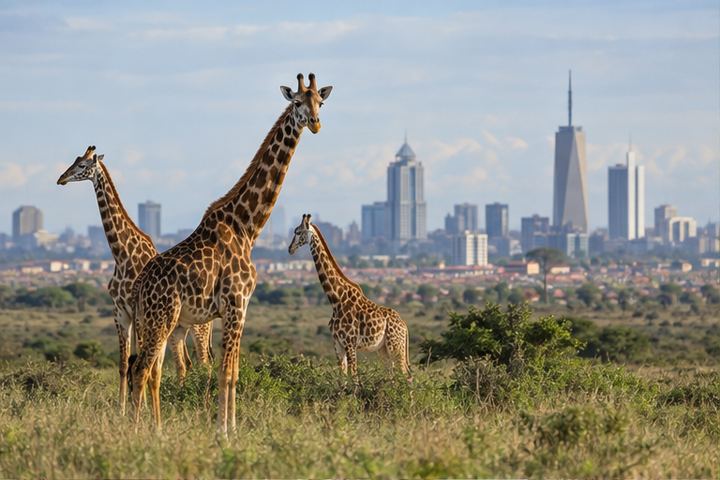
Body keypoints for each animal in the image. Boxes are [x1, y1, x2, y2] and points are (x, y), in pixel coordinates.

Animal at [57, 146, 213, 414]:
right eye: (74, 160)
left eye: (82, 165)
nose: (61, 179)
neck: (121, 255)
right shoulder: (120, 311)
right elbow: (124, 364)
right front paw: (121, 409)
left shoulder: (139, 314)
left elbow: (138, 363)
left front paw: (142, 408)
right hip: (176, 330)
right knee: (187, 363)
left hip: (198, 327)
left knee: (204, 362)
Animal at [130, 73, 333, 433]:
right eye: (297, 102)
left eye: (320, 102)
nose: (315, 124)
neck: (247, 227)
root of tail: (141, 286)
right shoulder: (236, 304)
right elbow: (225, 372)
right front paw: (223, 432)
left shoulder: (240, 309)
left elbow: (233, 372)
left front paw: (232, 428)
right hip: (161, 319)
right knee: (141, 370)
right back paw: (138, 432)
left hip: (157, 322)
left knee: (149, 371)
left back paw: (153, 428)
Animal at [288, 214, 412, 382]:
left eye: (298, 232)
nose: (290, 249)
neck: (336, 299)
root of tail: (404, 326)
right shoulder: (337, 344)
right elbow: (342, 380)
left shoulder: (350, 343)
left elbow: (355, 379)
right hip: (383, 350)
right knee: (392, 376)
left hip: (396, 347)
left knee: (407, 376)